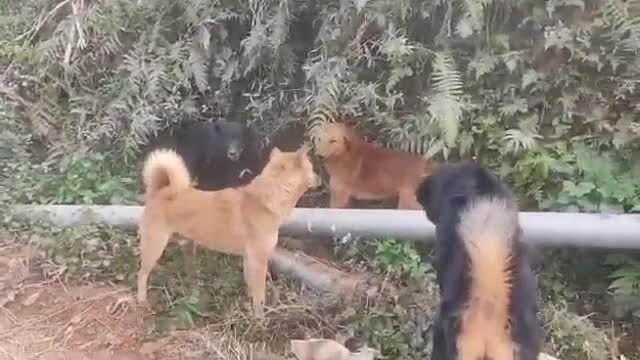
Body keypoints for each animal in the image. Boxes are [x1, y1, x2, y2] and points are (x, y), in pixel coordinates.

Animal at [137, 145, 318, 316]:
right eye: (311, 168)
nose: (319, 178)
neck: (270, 196)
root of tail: (161, 191)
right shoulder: (259, 259)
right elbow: (259, 295)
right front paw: (260, 319)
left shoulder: (249, 258)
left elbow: (250, 287)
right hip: (155, 245)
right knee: (141, 274)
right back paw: (142, 301)